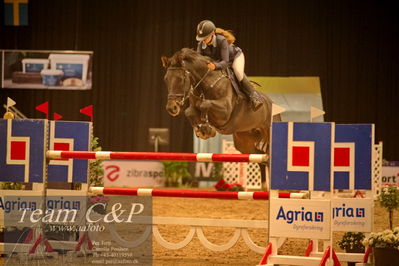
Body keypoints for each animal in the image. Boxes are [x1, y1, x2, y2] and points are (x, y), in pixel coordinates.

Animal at [161, 48, 280, 189]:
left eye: (180, 79)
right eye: (166, 79)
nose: (171, 108)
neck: (205, 85)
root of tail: (273, 104)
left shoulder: (225, 111)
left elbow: (205, 104)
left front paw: (207, 129)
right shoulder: (194, 108)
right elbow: (189, 112)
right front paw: (202, 130)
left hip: (267, 132)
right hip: (244, 142)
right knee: (261, 158)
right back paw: (264, 187)